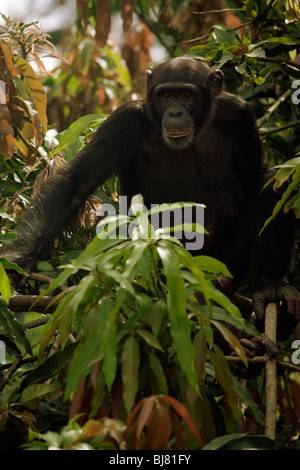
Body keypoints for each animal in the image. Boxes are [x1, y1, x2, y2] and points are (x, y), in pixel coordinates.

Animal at [4, 57, 300, 338]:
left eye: (187, 95)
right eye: (165, 95)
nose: (176, 111)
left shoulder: (240, 116)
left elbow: (260, 178)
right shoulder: (123, 121)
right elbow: (77, 184)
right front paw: (20, 256)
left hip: (228, 264)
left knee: (276, 182)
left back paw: (270, 286)